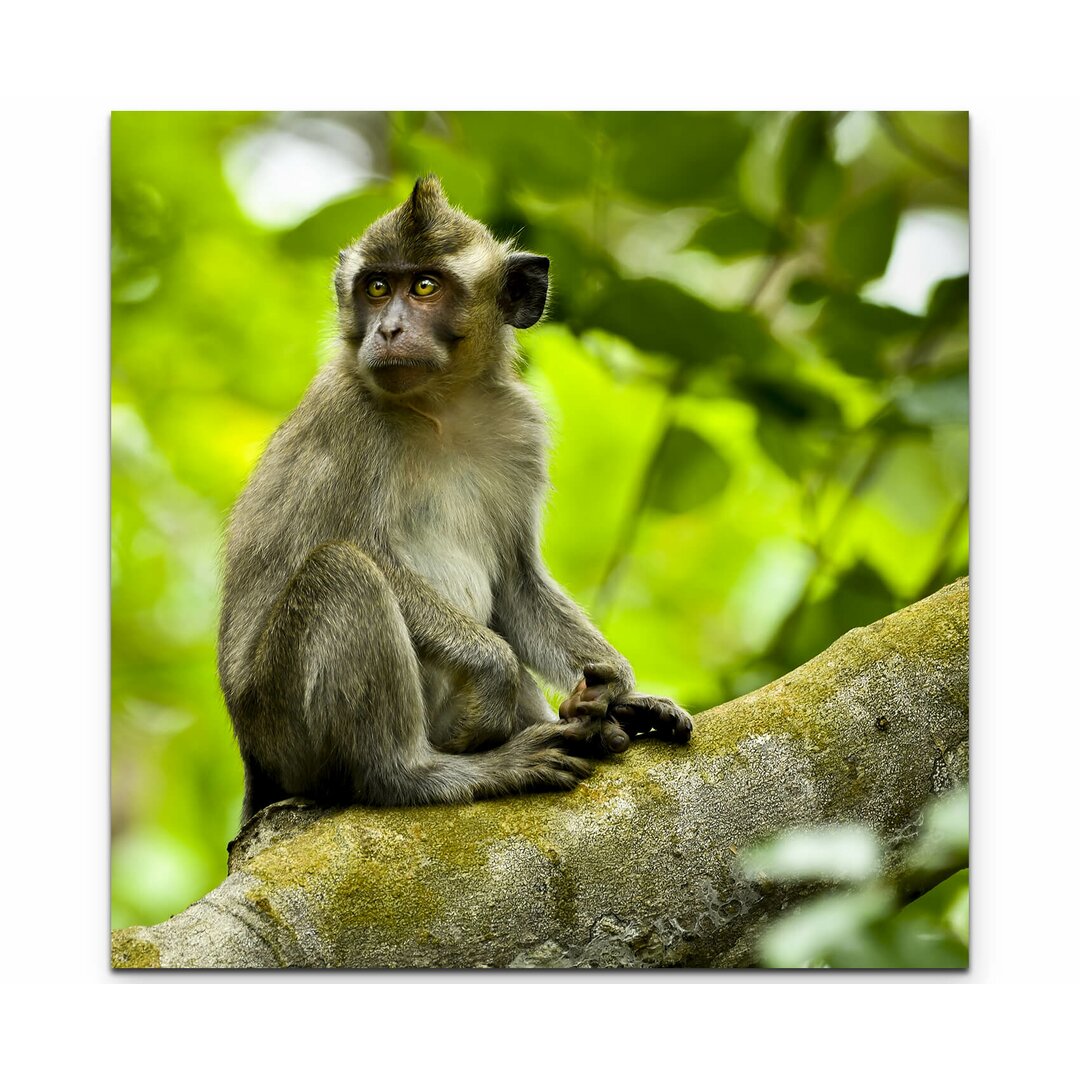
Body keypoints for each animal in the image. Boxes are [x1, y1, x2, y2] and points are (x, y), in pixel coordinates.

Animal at [218, 174, 691, 825]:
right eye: (376, 287)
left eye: (424, 286)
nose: (388, 330)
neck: (440, 406)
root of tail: (253, 764)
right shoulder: (348, 420)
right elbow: (336, 550)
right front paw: (496, 671)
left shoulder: (520, 429)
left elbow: (516, 578)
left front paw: (616, 688)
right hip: (282, 724)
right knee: (341, 571)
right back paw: (419, 773)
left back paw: (603, 722)